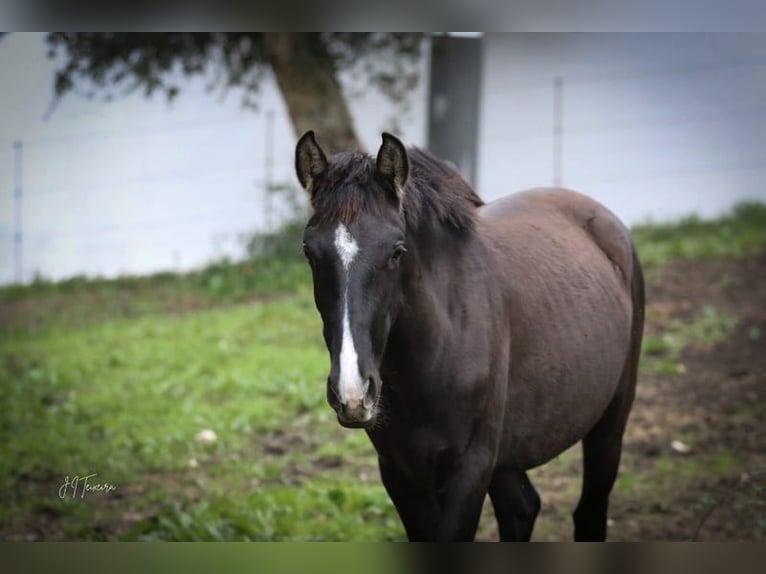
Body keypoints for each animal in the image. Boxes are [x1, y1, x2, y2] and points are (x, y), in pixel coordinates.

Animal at [296, 133, 644, 544]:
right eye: (309, 252)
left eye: (397, 251)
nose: (352, 393)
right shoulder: (400, 473)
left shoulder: (470, 469)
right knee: (521, 509)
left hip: (610, 419)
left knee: (588, 511)